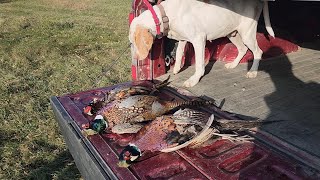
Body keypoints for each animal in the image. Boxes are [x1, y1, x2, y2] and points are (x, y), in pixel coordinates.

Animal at [129, 0, 274, 87]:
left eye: (132, 42)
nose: (135, 58)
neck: (166, 15)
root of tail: (258, 1)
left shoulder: (198, 40)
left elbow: (199, 65)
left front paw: (193, 80)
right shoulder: (183, 39)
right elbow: (179, 52)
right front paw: (176, 68)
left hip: (247, 34)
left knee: (258, 52)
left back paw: (253, 72)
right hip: (232, 33)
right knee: (243, 49)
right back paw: (233, 64)